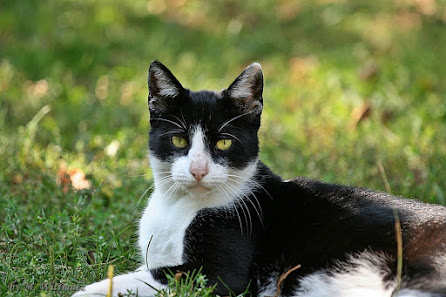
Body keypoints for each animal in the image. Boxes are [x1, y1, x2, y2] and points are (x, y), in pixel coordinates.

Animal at [73, 61, 446, 294]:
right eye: (178, 140)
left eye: (224, 142)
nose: (198, 169)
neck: (179, 208)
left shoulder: (223, 264)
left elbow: (154, 276)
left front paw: (90, 290)